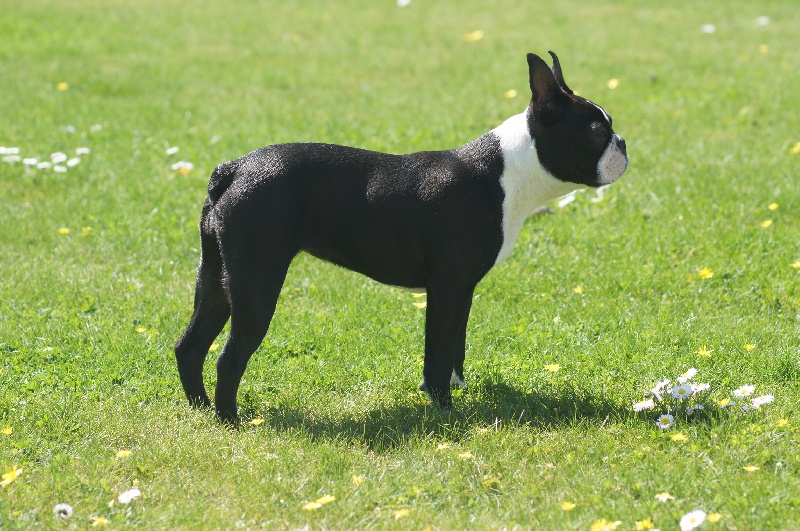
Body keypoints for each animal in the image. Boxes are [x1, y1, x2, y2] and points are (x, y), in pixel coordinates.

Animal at [177, 51, 632, 424]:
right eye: (597, 132)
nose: (624, 143)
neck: (508, 173)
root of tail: (234, 168)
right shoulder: (448, 288)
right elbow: (438, 353)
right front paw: (446, 411)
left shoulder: (461, 291)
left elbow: (455, 347)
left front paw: (458, 393)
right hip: (257, 281)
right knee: (228, 358)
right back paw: (230, 421)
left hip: (216, 279)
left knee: (190, 345)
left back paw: (201, 409)